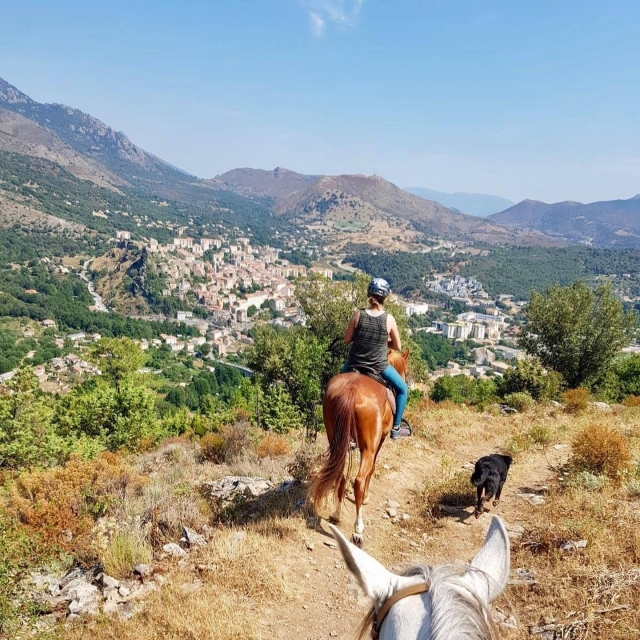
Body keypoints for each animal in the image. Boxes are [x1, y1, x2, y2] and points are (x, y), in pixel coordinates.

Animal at [310, 349, 409, 548]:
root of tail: (351, 390)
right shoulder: (379, 440)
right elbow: (373, 468)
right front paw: (366, 498)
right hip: (367, 447)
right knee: (359, 480)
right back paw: (358, 531)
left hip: (336, 440)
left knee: (340, 474)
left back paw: (336, 514)